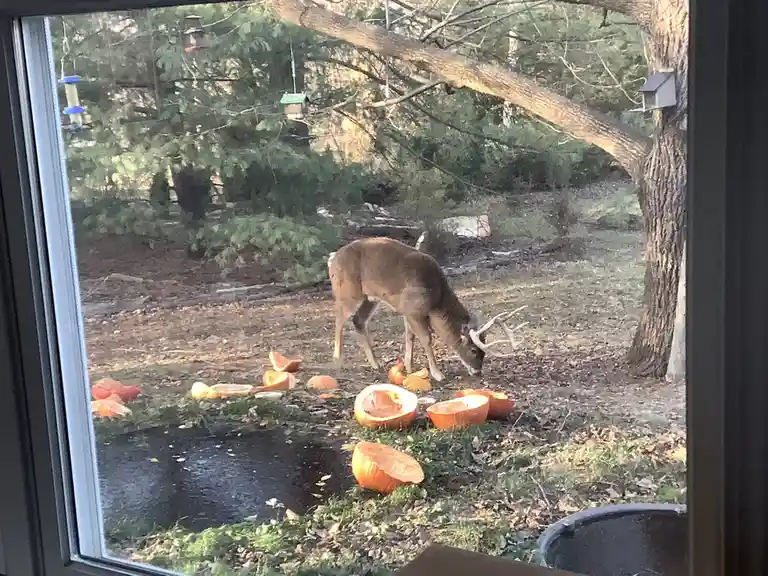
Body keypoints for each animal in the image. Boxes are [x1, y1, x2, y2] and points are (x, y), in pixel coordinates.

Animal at [327, 236, 528, 382]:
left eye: (483, 351)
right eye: (473, 350)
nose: (478, 371)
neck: (436, 301)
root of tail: (332, 259)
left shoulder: (407, 311)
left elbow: (409, 337)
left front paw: (409, 367)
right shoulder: (413, 309)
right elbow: (426, 338)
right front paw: (437, 374)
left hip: (370, 298)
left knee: (358, 321)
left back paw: (375, 363)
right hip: (348, 292)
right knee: (339, 319)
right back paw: (337, 358)